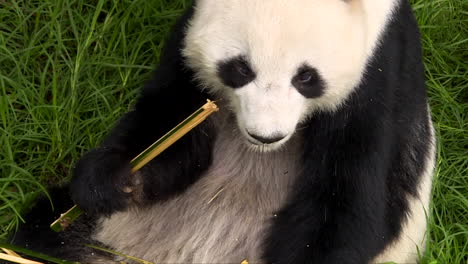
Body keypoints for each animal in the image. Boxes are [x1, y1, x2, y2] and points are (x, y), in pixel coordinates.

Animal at [10, 0, 436, 264]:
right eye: (240, 68)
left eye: (306, 77)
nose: (266, 136)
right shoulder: (188, 41)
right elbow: (172, 130)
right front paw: (114, 180)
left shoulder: (380, 71)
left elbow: (349, 200)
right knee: (42, 233)